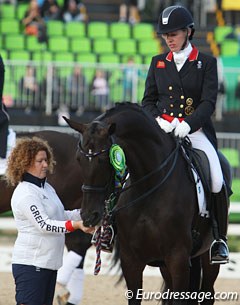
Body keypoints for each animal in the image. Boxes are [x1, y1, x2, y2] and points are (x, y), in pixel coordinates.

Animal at [62, 102, 230, 304]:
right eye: (78, 159)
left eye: (103, 159)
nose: (88, 216)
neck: (150, 185)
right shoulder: (131, 260)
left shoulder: (178, 258)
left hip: (207, 255)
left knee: (207, 292)